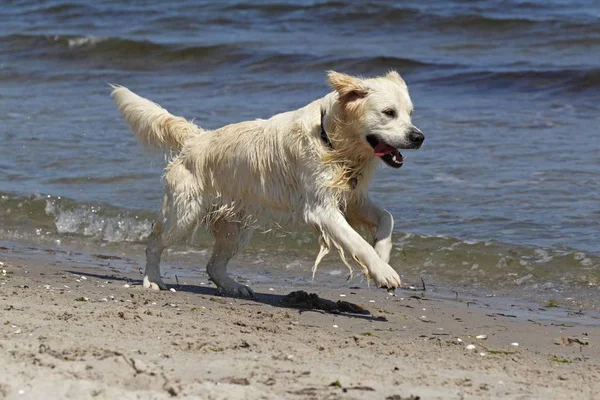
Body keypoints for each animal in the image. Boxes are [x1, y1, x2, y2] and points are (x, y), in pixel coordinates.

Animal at [111, 71, 422, 296]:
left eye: (410, 113)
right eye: (388, 112)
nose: (419, 137)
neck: (334, 142)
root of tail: (196, 138)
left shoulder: (353, 198)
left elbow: (387, 218)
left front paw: (383, 253)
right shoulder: (321, 208)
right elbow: (357, 242)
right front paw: (384, 273)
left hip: (236, 226)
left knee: (213, 264)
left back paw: (235, 286)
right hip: (184, 213)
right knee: (155, 241)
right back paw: (152, 280)